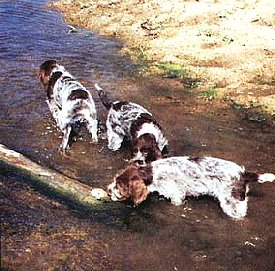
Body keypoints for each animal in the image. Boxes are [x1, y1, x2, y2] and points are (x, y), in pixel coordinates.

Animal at [108, 157, 275, 219]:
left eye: (119, 185)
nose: (108, 191)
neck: (152, 173)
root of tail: (242, 173)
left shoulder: (176, 196)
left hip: (232, 204)